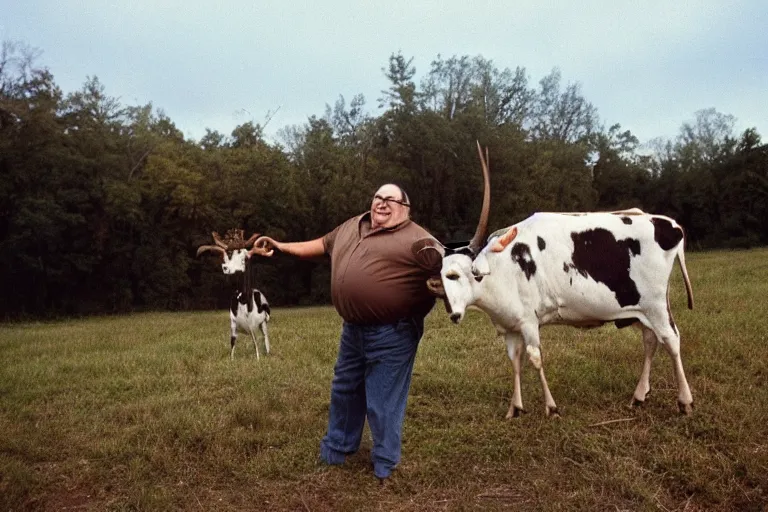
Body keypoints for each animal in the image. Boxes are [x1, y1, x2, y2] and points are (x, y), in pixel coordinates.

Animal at [198, 230, 272, 358]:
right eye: (229, 256)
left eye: (245, 258)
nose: (226, 268)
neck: (243, 300)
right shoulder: (233, 324)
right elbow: (232, 343)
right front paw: (231, 359)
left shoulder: (254, 325)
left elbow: (256, 343)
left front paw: (258, 359)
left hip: (263, 323)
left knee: (265, 338)